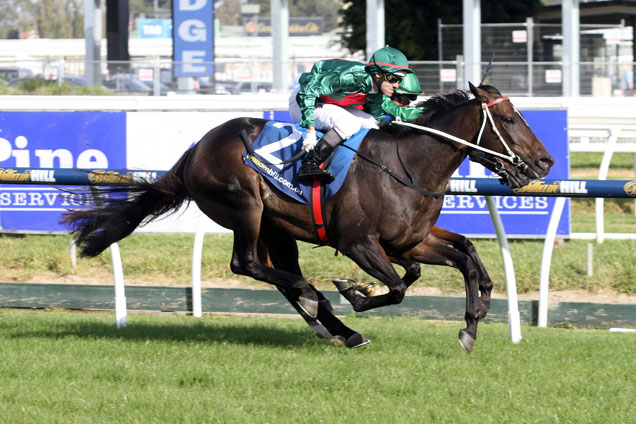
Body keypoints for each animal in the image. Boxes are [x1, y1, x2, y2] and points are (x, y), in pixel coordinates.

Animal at [62, 82, 556, 352]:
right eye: (510, 119)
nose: (545, 162)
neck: (408, 163)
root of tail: (195, 149)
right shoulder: (358, 243)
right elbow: (397, 288)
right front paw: (354, 292)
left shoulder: (412, 240)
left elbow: (465, 255)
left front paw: (473, 322)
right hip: (246, 207)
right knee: (250, 265)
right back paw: (321, 303)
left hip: (276, 227)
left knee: (277, 272)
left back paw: (337, 326)